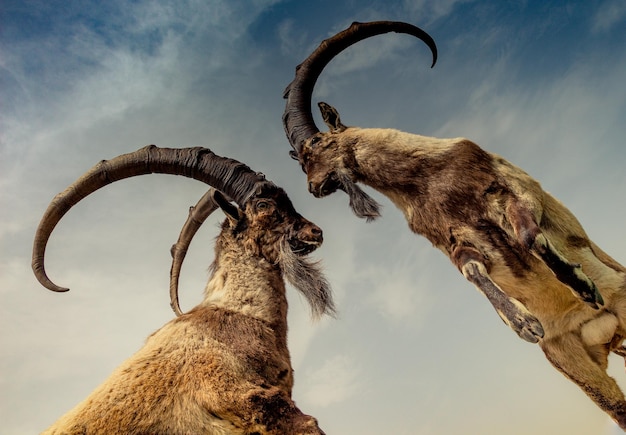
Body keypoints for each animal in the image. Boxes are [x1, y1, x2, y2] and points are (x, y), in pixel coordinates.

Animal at [282, 20, 624, 430]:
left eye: (317, 142)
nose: (314, 187)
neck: (430, 180)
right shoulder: (454, 240)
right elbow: (472, 269)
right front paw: (524, 324)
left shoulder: (507, 190)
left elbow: (527, 234)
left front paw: (582, 286)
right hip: (574, 359)